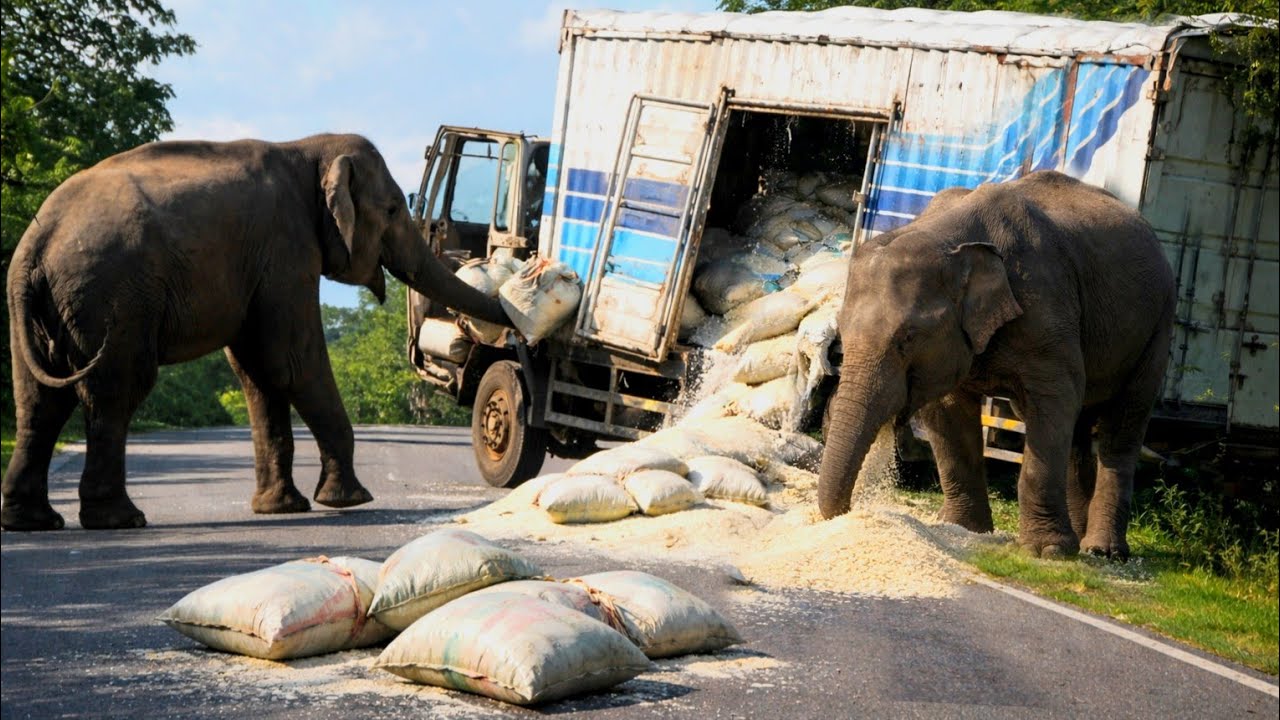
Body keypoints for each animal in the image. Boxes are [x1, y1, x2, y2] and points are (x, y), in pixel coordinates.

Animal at [4, 134, 510, 531]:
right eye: (390, 209)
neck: (306, 149)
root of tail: (35, 245)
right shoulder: (285, 248)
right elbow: (290, 360)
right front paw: (349, 500)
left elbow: (257, 372)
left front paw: (281, 509)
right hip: (112, 298)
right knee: (116, 391)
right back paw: (120, 520)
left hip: (40, 309)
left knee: (40, 401)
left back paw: (34, 522)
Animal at [817, 171, 1175, 559]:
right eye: (841, 329)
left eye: (908, 337)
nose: (850, 512)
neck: (949, 239)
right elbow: (948, 414)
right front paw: (964, 528)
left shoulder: (1045, 309)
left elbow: (1056, 399)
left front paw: (1047, 551)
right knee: (1077, 430)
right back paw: (1080, 543)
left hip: (1158, 327)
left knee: (1122, 423)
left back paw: (1102, 551)